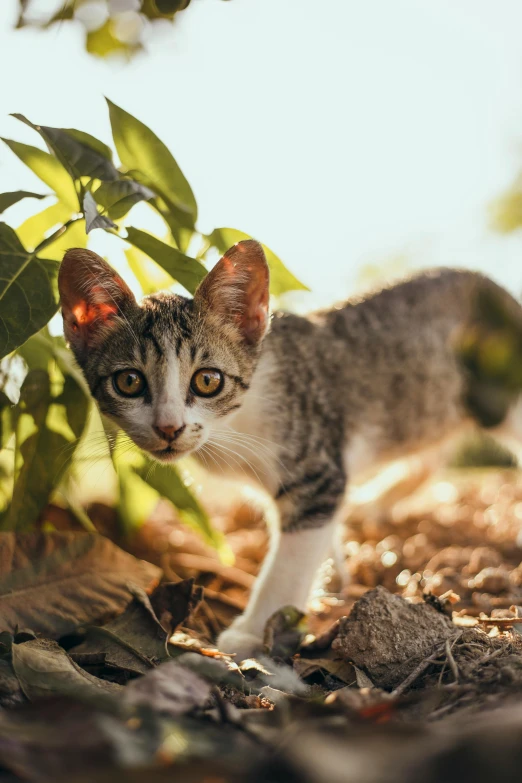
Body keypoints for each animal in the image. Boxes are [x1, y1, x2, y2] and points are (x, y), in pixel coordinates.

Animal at [59, 240, 520, 660]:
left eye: (207, 380)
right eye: (129, 382)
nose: (169, 427)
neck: (231, 428)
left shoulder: (317, 472)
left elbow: (291, 559)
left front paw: (254, 630)